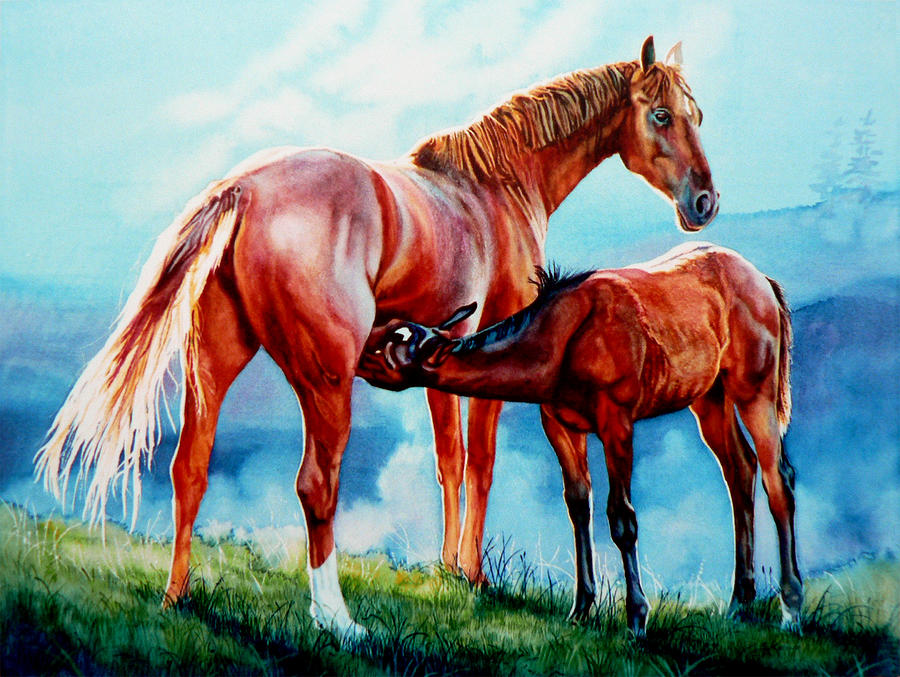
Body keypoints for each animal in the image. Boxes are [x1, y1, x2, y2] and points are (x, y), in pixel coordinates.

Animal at [35, 36, 718, 640]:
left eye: (698, 115)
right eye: (660, 115)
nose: (704, 202)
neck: (492, 184)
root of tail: (243, 190)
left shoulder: (443, 351)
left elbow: (449, 461)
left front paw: (449, 570)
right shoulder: (493, 340)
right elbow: (480, 462)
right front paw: (471, 574)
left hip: (214, 363)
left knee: (190, 469)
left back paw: (176, 599)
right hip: (326, 379)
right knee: (317, 484)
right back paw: (336, 619)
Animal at [363, 242, 801, 635]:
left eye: (388, 348)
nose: (360, 348)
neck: (562, 341)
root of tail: (764, 281)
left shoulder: (616, 421)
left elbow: (622, 518)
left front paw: (636, 617)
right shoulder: (560, 424)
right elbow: (578, 508)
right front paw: (581, 608)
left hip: (755, 389)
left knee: (778, 478)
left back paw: (791, 608)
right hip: (709, 398)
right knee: (740, 470)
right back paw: (739, 603)